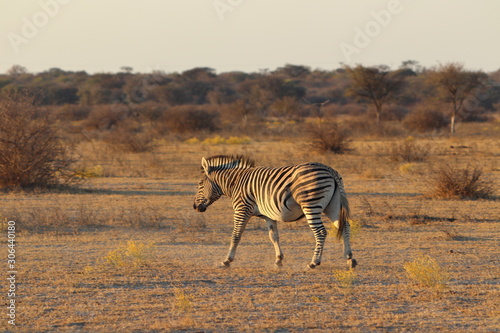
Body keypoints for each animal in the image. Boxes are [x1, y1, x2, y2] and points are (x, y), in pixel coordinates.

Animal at [193, 154, 358, 268]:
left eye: (200, 184)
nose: (195, 207)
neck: (236, 183)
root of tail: (330, 170)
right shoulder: (269, 215)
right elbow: (274, 237)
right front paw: (279, 260)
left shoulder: (241, 210)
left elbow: (236, 235)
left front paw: (227, 260)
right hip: (333, 205)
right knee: (344, 226)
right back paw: (350, 258)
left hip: (311, 204)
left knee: (321, 232)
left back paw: (314, 262)